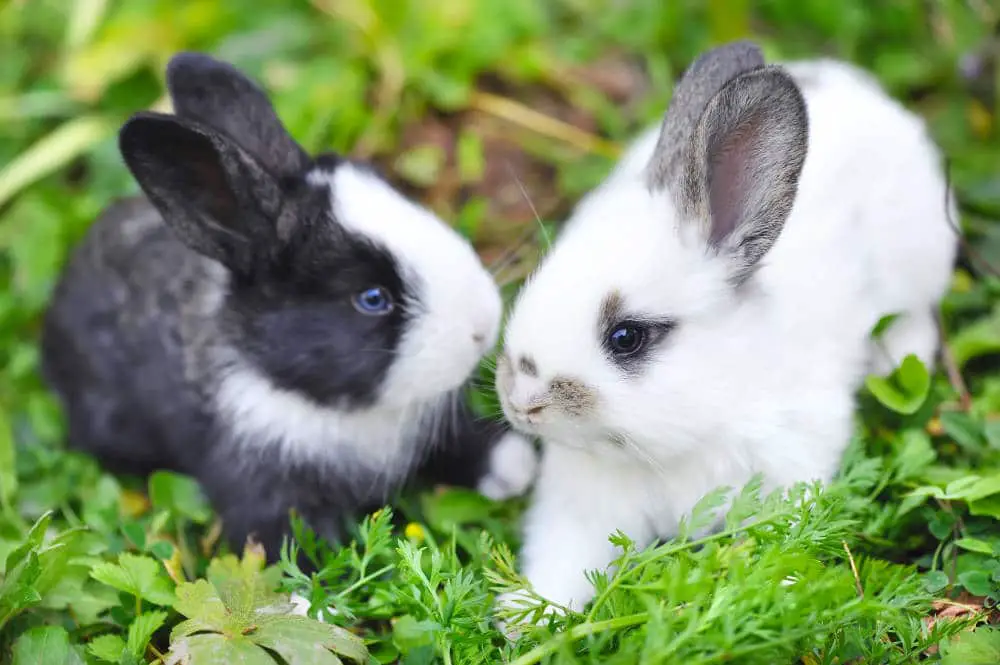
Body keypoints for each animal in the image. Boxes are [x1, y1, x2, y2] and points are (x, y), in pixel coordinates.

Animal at [39, 53, 540, 560]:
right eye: (372, 299)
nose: (483, 326)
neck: (317, 401)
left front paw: (516, 467)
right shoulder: (263, 486)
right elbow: (289, 552)